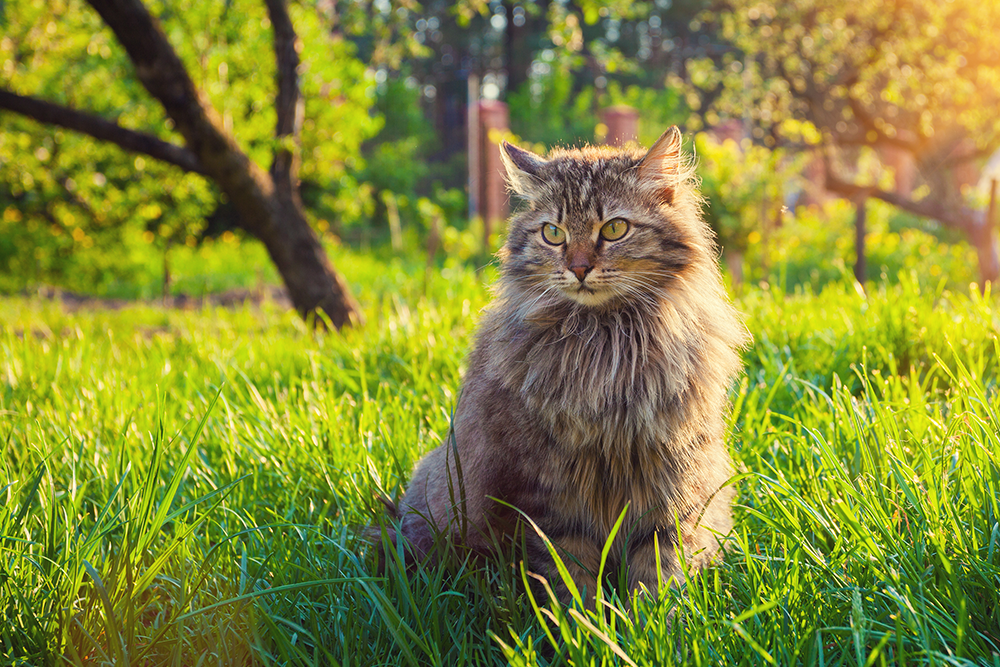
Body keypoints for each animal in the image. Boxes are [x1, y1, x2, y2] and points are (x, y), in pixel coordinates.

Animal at [386, 126, 748, 604]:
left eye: (614, 228)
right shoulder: (551, 491)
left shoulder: (673, 476)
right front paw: (584, 621)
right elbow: (570, 576)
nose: (578, 268)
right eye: (553, 234)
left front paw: (648, 621)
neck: (607, 344)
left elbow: (660, 569)